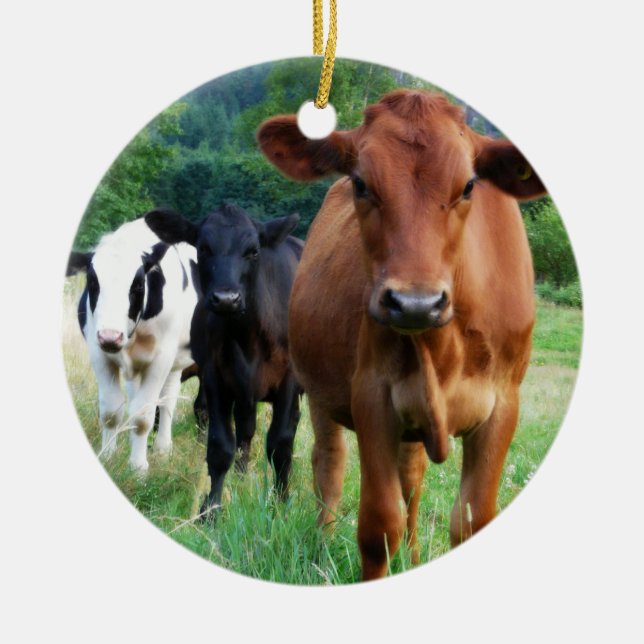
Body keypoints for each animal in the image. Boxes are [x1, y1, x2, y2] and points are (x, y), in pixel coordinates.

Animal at [71, 217, 198, 471]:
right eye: (92, 281)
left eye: (139, 285)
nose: (110, 336)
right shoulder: (98, 353)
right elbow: (111, 411)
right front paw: (109, 456)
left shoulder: (161, 359)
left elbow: (142, 416)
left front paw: (138, 467)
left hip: (175, 361)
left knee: (167, 401)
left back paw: (162, 448)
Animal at [144, 205, 304, 515]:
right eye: (203, 248)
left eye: (253, 251)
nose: (226, 299)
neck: (247, 336)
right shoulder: (216, 378)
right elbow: (220, 446)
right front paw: (210, 510)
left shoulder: (289, 380)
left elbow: (280, 442)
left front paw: (280, 504)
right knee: (245, 429)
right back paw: (241, 474)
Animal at [258, 89, 546, 580]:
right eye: (360, 183)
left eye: (469, 186)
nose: (415, 303)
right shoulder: (371, 395)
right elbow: (378, 525)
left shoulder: (504, 404)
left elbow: (470, 520)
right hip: (317, 390)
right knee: (329, 463)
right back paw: (321, 546)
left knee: (412, 481)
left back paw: (411, 558)